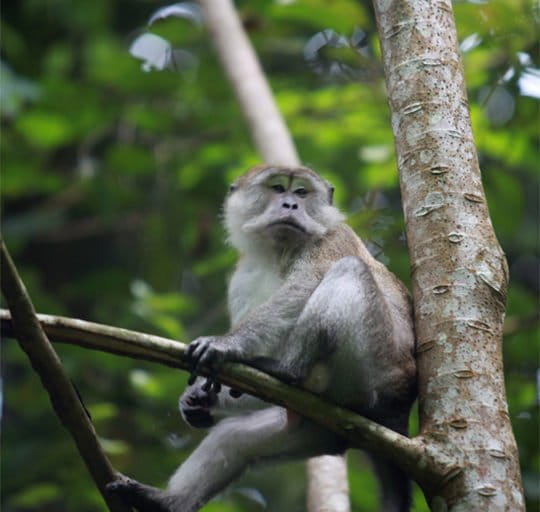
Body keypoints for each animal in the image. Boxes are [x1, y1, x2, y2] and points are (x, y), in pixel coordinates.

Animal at [106, 165, 418, 512]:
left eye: (301, 193)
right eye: (278, 188)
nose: (291, 205)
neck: (277, 251)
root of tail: (398, 411)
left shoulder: (331, 240)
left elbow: (304, 286)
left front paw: (226, 346)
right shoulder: (243, 275)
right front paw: (201, 396)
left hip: (373, 373)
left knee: (348, 270)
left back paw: (287, 372)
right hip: (317, 432)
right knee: (234, 439)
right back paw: (166, 502)